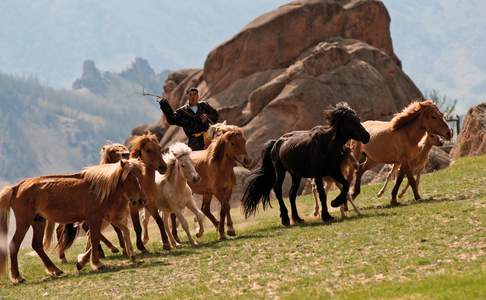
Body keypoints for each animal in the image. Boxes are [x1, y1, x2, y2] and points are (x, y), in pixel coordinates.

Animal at [0, 159, 144, 284]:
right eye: (130, 178)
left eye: (140, 176)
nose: (140, 201)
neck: (97, 189)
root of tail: (16, 188)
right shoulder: (94, 218)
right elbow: (95, 238)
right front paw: (96, 264)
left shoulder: (103, 217)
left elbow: (101, 236)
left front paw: (83, 262)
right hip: (24, 222)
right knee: (15, 244)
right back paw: (18, 277)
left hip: (38, 221)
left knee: (37, 245)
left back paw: (55, 270)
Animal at [241, 102, 370, 226]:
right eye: (350, 121)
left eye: (358, 119)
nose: (367, 136)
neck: (327, 146)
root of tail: (276, 142)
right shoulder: (318, 175)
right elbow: (322, 194)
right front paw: (326, 215)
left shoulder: (334, 172)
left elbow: (345, 185)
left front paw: (335, 203)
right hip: (280, 171)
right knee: (278, 190)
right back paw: (285, 219)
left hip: (296, 175)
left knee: (292, 194)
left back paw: (297, 218)